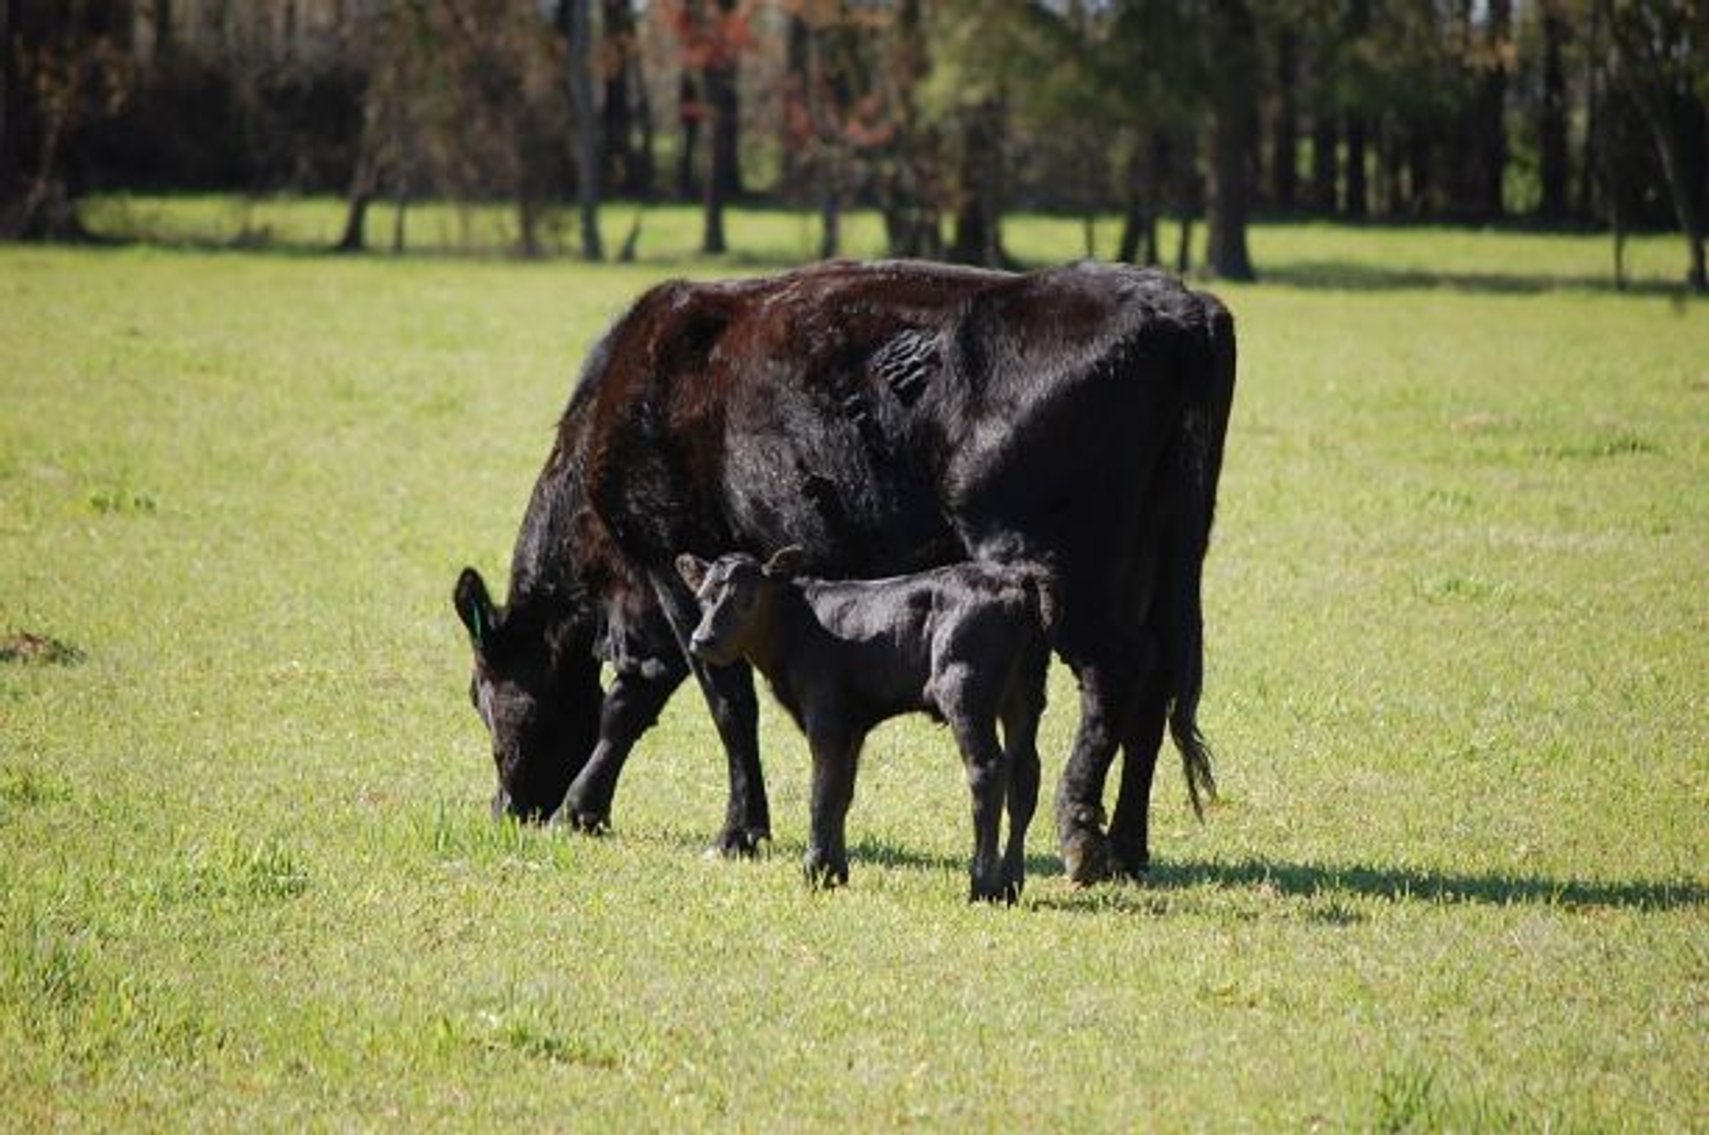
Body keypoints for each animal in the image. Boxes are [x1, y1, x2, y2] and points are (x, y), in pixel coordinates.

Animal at [675, 547, 1053, 902]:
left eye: (747, 599)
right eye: (702, 598)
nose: (701, 640)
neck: (797, 629)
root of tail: (1015, 577)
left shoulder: (825, 717)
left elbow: (821, 794)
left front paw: (813, 871)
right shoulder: (852, 725)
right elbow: (842, 792)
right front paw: (835, 874)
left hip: (965, 693)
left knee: (987, 771)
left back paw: (982, 885)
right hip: (1026, 694)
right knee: (1025, 774)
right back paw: (1010, 884)